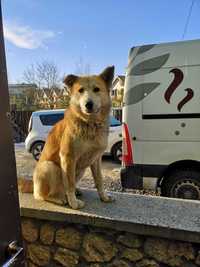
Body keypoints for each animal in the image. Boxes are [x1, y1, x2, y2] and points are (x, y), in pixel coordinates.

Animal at [32, 66, 114, 209]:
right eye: (80, 90)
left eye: (97, 89)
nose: (88, 104)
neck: (90, 124)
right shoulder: (68, 157)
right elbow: (69, 184)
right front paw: (74, 203)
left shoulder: (96, 159)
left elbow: (99, 180)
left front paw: (103, 197)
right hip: (50, 167)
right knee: (43, 196)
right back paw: (60, 199)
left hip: (81, 169)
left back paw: (76, 191)